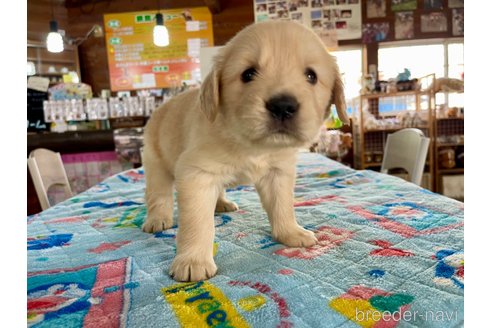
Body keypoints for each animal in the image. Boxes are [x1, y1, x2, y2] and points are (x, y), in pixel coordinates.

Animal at [142, 21, 350, 282]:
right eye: (248, 74)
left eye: (311, 76)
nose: (283, 106)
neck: (253, 145)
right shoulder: (195, 173)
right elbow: (197, 222)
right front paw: (192, 260)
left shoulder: (278, 173)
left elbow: (283, 206)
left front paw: (290, 232)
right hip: (155, 163)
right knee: (159, 195)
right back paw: (158, 219)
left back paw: (221, 204)